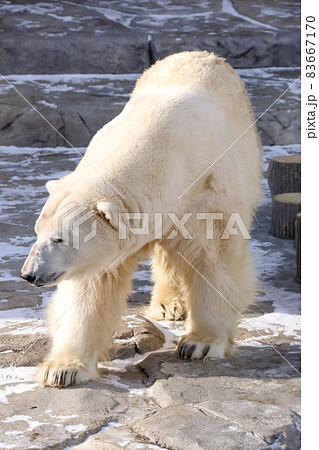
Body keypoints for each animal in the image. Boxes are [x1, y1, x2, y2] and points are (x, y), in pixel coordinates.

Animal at [21, 51, 264, 386]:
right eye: (37, 231)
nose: (29, 274)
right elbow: (91, 287)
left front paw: (199, 344)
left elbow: (214, 258)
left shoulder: (207, 190)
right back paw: (167, 304)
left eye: (59, 237)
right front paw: (63, 369)